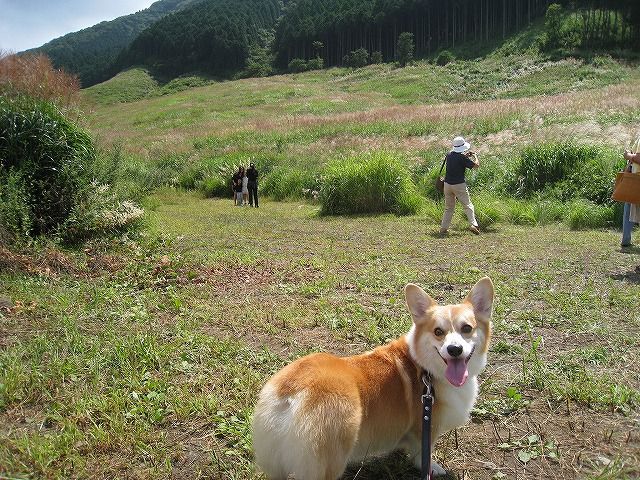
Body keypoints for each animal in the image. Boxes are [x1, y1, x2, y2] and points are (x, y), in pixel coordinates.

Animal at [252, 276, 492, 478]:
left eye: (467, 328)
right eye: (438, 332)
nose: (455, 350)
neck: (427, 369)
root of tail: (290, 393)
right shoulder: (426, 427)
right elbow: (422, 454)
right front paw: (432, 468)